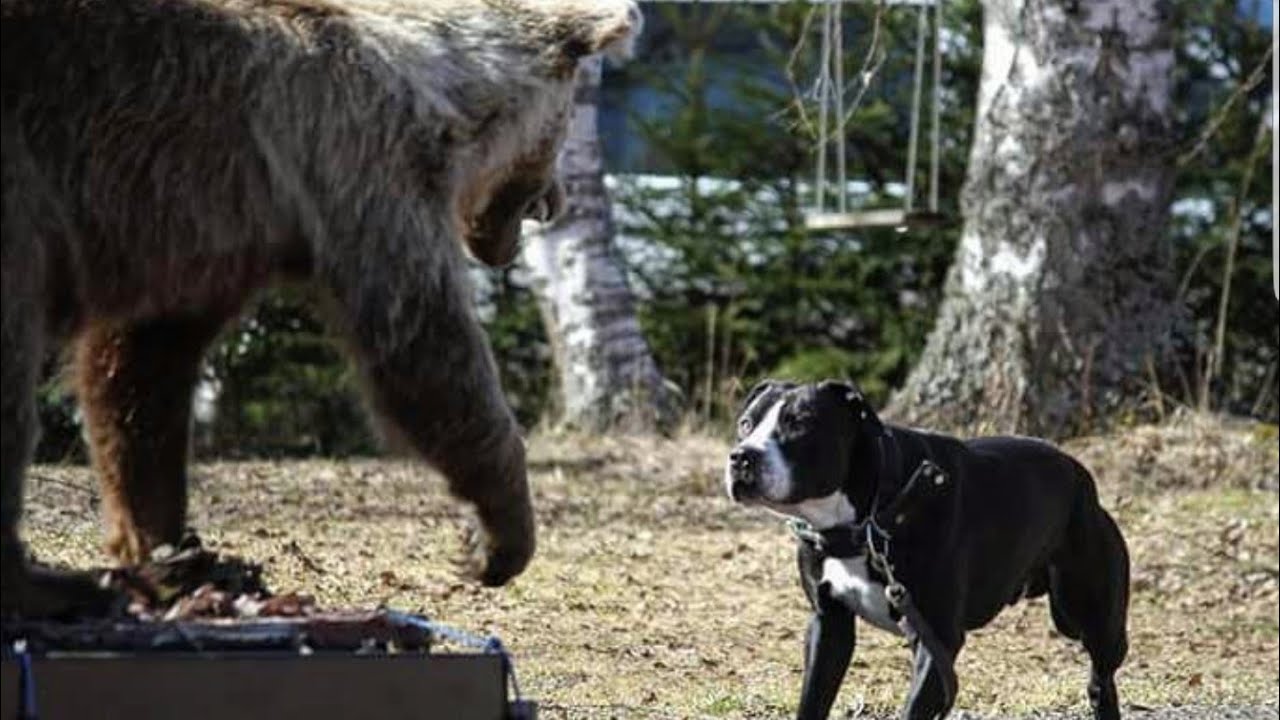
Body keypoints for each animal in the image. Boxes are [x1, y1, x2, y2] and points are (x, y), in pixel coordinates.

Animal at [1, 0, 641, 617]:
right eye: (561, 130)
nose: (556, 203)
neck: (443, 101)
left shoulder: (204, 239)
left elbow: (143, 370)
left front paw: (170, 549)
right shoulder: (362, 170)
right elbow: (423, 351)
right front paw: (497, 538)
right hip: (25, 192)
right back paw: (46, 584)